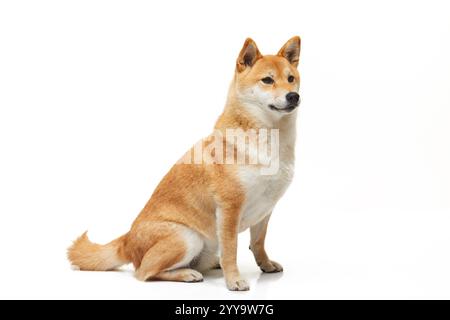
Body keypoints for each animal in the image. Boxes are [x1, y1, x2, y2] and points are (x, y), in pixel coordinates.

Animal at [68, 36, 302, 292]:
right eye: (267, 80)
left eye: (291, 78)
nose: (293, 96)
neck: (271, 140)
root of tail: (127, 239)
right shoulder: (229, 207)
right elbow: (231, 249)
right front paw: (234, 280)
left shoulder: (266, 208)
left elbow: (258, 243)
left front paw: (265, 264)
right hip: (187, 237)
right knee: (144, 272)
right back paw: (187, 274)